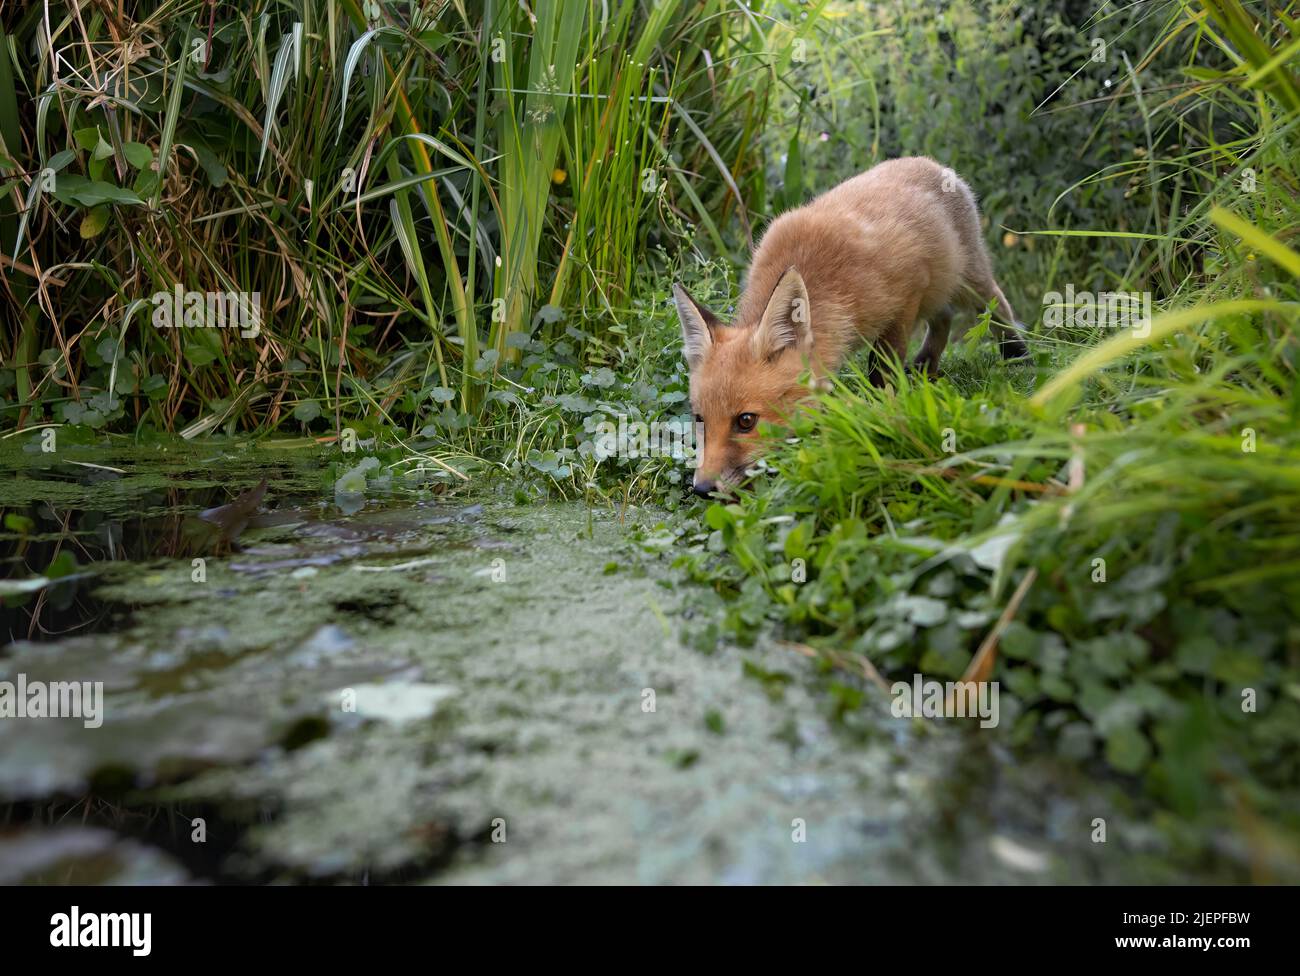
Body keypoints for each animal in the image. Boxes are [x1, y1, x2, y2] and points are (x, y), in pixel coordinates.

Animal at [673, 156, 1028, 496]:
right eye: (699, 419)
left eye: (746, 421)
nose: (703, 489)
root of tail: (930, 163)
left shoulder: (904, 300)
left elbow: (881, 371)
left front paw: (880, 413)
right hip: (941, 291)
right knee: (943, 319)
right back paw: (926, 365)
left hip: (966, 282)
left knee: (996, 305)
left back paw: (1017, 355)